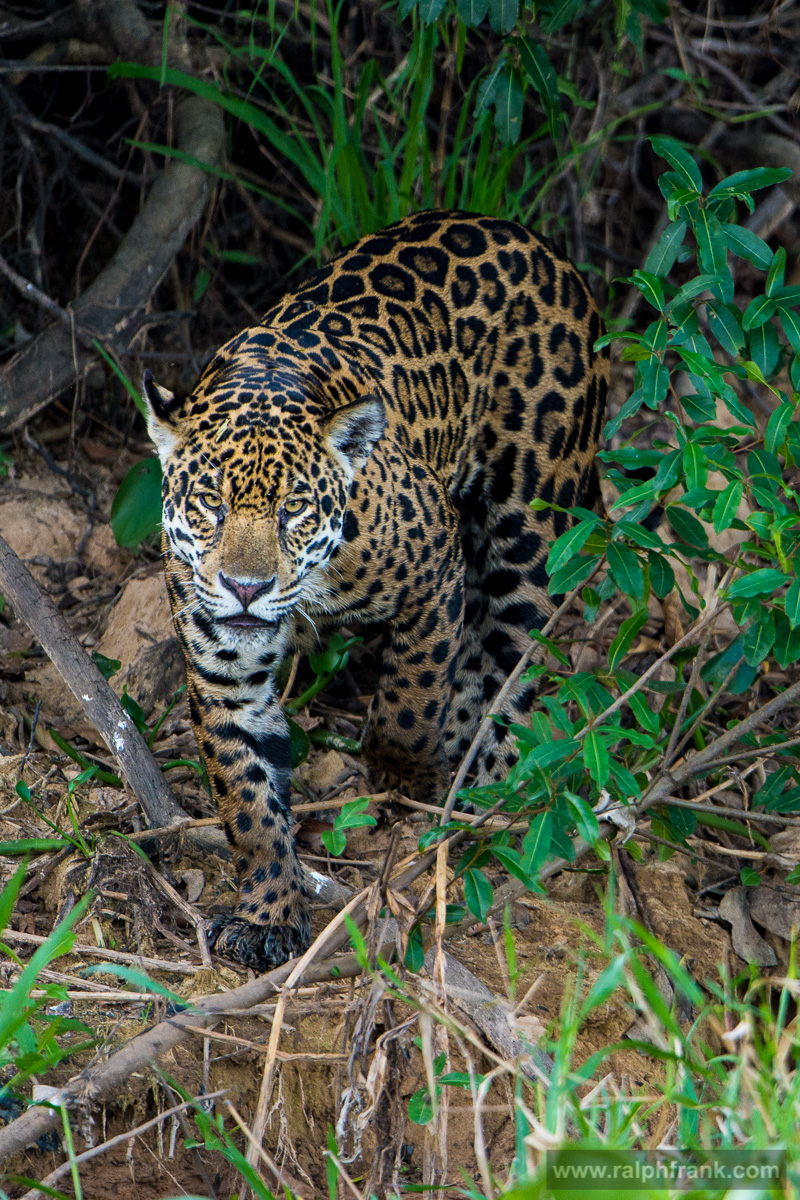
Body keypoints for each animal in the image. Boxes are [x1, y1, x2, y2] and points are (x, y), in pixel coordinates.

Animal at [142, 209, 608, 972]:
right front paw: (269, 913)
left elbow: (408, 702)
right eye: (210, 502)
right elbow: (247, 796)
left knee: (511, 657)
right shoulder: (225, 672)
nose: (244, 587)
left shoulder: (436, 566)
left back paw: (485, 780)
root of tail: (532, 240)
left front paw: (403, 777)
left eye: (294, 509)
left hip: (532, 523)